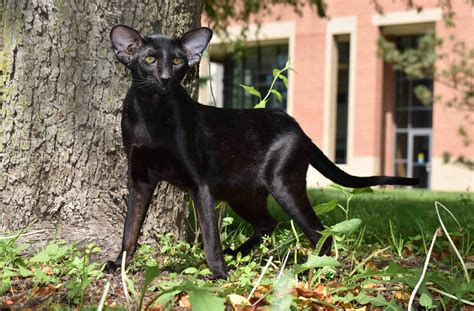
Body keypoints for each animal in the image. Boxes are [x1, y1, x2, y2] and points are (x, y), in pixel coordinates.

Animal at [107, 25, 418, 280]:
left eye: (176, 61)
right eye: (150, 59)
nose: (165, 78)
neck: (152, 113)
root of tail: (298, 128)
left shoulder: (200, 185)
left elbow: (210, 236)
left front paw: (218, 275)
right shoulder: (140, 180)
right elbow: (129, 229)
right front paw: (118, 264)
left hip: (283, 185)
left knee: (321, 233)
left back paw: (310, 273)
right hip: (242, 194)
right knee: (268, 223)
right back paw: (238, 253)